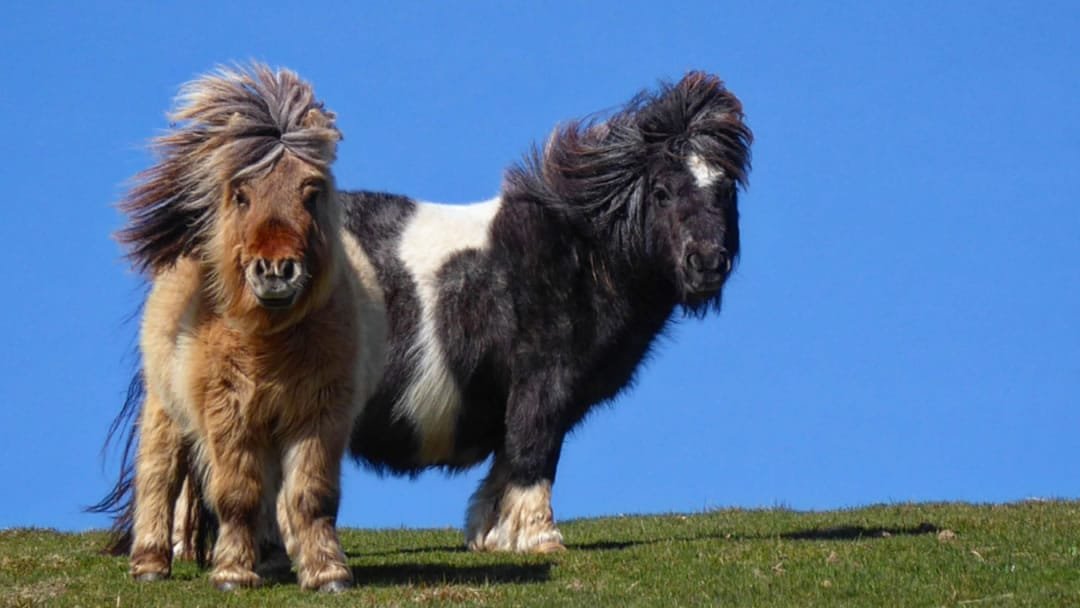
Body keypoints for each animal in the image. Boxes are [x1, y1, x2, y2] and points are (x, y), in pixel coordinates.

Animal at [90, 64, 384, 592]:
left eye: (311, 192)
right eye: (242, 194)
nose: (275, 270)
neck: (271, 340)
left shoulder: (319, 414)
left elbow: (311, 496)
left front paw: (327, 572)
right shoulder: (229, 414)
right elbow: (237, 495)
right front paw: (231, 572)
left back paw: (272, 556)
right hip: (165, 408)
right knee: (158, 475)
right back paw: (150, 563)